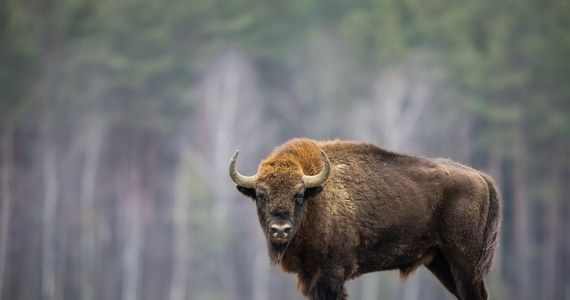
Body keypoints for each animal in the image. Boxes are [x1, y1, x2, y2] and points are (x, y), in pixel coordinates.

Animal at [229, 138, 500, 300]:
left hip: (465, 262)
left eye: (299, 194)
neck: (317, 198)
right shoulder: (309, 275)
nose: (280, 230)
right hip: (442, 262)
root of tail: (481, 177)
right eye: (261, 194)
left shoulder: (331, 273)